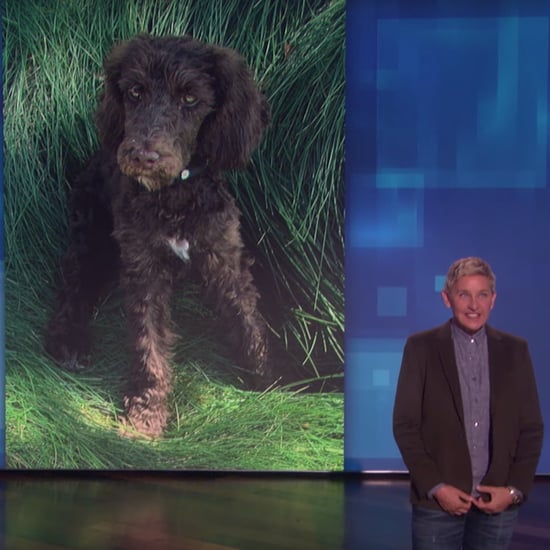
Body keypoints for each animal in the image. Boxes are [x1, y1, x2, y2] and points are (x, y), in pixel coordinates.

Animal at [45, 34, 272, 440]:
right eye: (135, 91)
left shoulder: (224, 255)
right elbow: (148, 345)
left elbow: (246, 315)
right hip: (89, 236)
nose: (143, 156)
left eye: (190, 98)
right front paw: (145, 417)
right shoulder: (143, 268)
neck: (174, 196)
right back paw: (67, 340)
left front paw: (271, 377)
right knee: (74, 284)